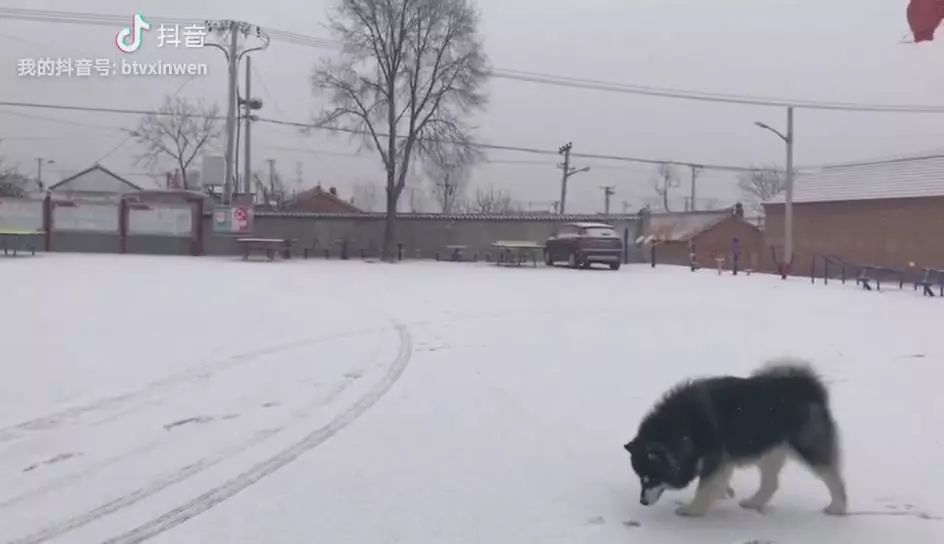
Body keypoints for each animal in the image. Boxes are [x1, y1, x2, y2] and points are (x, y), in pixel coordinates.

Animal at [628, 360, 848, 516]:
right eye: (641, 478)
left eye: (651, 478)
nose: (642, 502)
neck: (681, 426)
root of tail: (808, 387)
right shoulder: (722, 460)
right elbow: (718, 481)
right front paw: (723, 492)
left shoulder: (715, 458)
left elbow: (704, 487)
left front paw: (693, 510)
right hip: (766, 450)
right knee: (771, 484)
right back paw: (753, 503)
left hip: (808, 448)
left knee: (833, 478)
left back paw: (837, 507)